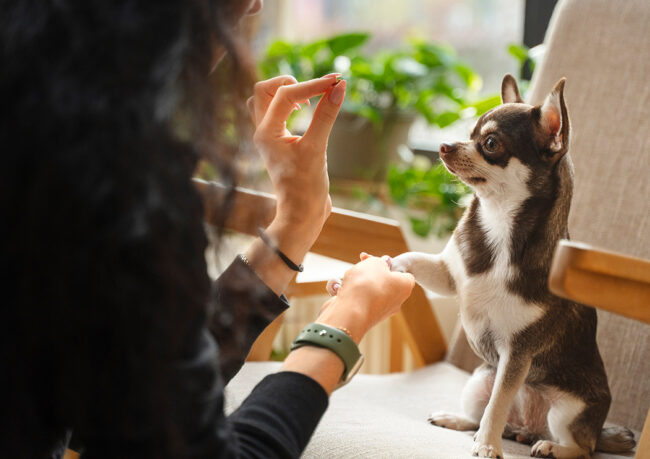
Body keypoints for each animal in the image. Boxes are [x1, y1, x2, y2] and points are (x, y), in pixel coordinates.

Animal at [388, 76, 632, 459]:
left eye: (490, 144)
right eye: (469, 133)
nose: (444, 146)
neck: (499, 224)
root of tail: (526, 428)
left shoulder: (517, 354)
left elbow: (499, 404)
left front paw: (487, 446)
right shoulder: (448, 275)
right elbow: (415, 260)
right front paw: (390, 265)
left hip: (568, 409)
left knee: (582, 448)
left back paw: (550, 446)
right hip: (479, 380)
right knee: (480, 414)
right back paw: (457, 419)